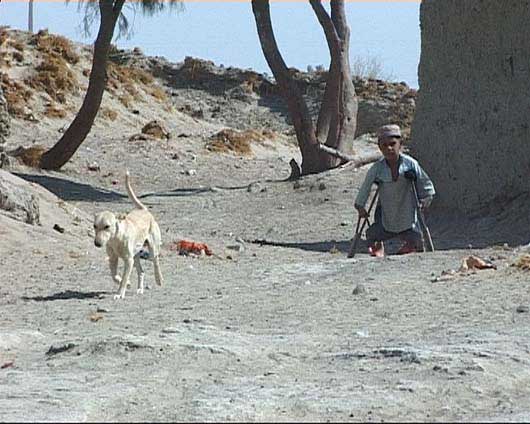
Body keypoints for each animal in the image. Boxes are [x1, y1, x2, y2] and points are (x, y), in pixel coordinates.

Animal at [93, 171, 162, 300]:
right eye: (94, 226)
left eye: (107, 226)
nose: (97, 243)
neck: (116, 239)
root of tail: (144, 210)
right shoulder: (113, 259)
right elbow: (114, 276)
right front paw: (127, 283)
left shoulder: (128, 261)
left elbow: (124, 278)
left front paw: (120, 293)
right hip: (136, 256)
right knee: (141, 272)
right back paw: (140, 289)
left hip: (152, 249)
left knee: (156, 262)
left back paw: (159, 279)